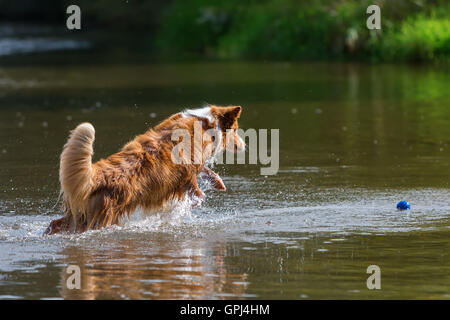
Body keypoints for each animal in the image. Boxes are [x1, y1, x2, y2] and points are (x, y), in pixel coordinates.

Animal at [44, 105, 244, 235]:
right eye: (236, 131)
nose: (244, 145)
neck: (206, 123)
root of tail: (95, 175)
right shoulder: (187, 179)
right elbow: (194, 198)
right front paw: (167, 214)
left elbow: (205, 171)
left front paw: (218, 182)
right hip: (102, 219)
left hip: (76, 216)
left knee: (54, 224)